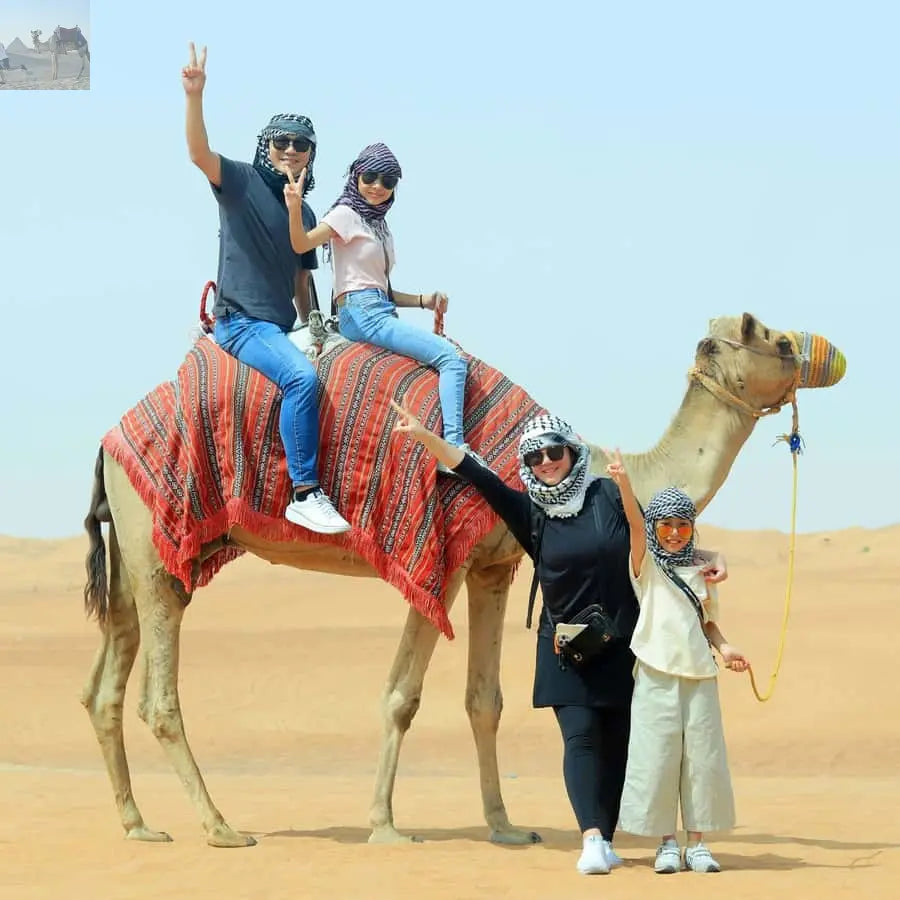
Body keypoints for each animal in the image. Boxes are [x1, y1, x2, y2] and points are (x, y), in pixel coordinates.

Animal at [81, 312, 844, 848]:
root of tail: (108, 442)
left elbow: (486, 701)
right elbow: (402, 696)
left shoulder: (493, 566)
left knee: (103, 687)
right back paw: (220, 827)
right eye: (774, 338)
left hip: (134, 554)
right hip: (159, 545)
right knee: (158, 695)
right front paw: (385, 826)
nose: (830, 354)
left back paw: (138, 823)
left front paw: (506, 827)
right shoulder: (438, 561)